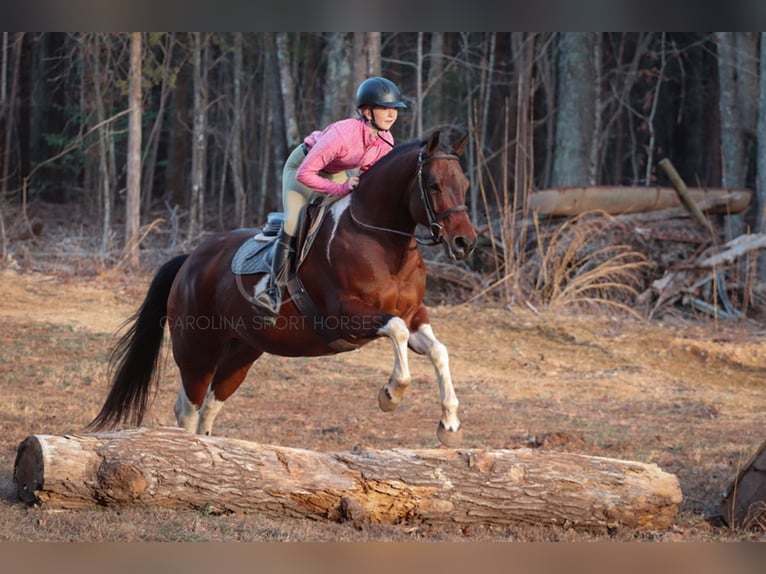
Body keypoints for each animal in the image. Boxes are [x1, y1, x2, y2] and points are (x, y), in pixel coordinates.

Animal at [88, 132, 474, 450]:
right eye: (434, 184)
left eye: (466, 183)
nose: (465, 242)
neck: (381, 240)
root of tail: (189, 261)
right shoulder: (348, 314)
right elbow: (395, 331)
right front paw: (391, 395)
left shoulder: (414, 316)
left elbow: (439, 351)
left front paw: (449, 425)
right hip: (196, 348)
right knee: (188, 407)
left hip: (241, 352)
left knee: (210, 405)